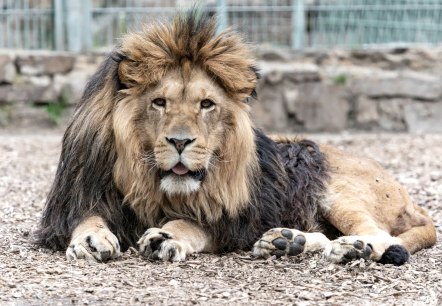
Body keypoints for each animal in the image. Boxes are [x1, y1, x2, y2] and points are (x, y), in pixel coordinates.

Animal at [34, 11, 436, 266]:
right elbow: (86, 219)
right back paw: (286, 242)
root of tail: (408, 197)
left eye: (206, 104)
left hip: (339, 192)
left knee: (381, 235)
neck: (145, 179)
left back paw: (351, 249)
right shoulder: (81, 196)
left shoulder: (229, 220)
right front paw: (91, 239)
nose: (180, 142)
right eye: (159, 102)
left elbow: (190, 224)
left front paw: (166, 236)